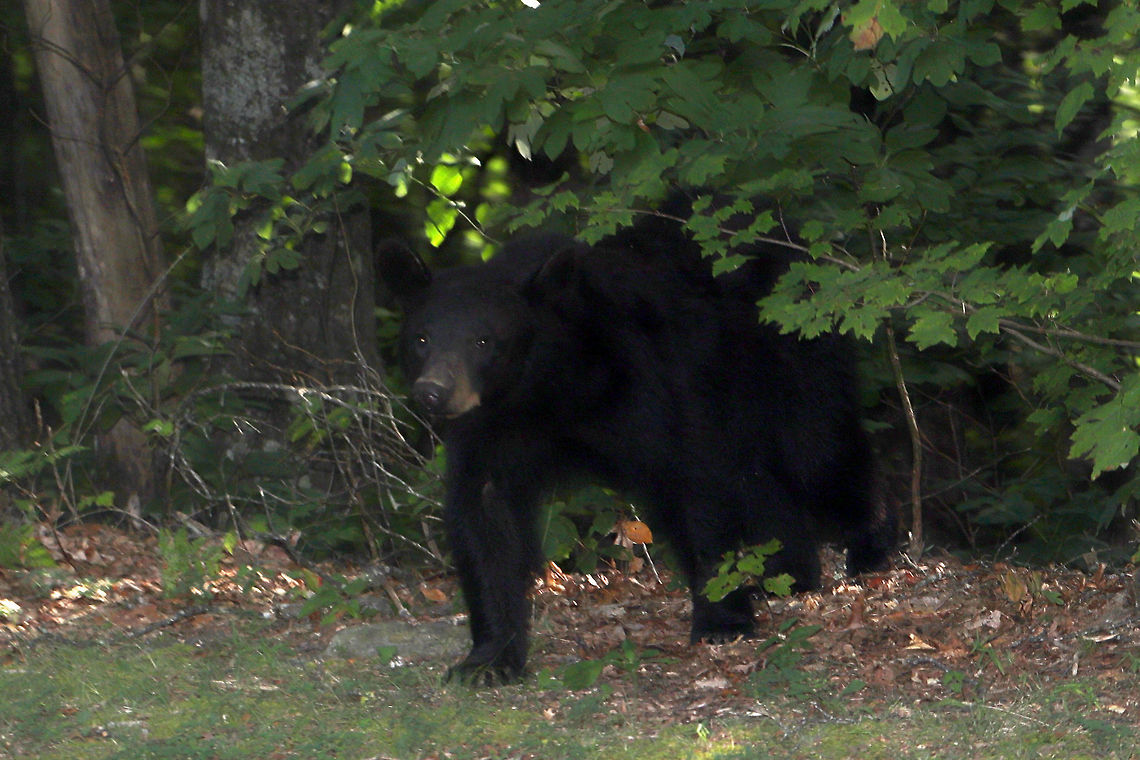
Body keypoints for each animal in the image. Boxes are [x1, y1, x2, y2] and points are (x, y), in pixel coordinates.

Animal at [380, 203, 894, 684]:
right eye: (421, 338)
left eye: (484, 340)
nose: (434, 392)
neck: (551, 386)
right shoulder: (491, 429)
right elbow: (485, 518)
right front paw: (489, 658)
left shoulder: (652, 384)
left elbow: (696, 481)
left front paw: (721, 619)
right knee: (762, 480)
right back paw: (785, 574)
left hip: (791, 352)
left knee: (820, 452)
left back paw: (868, 549)